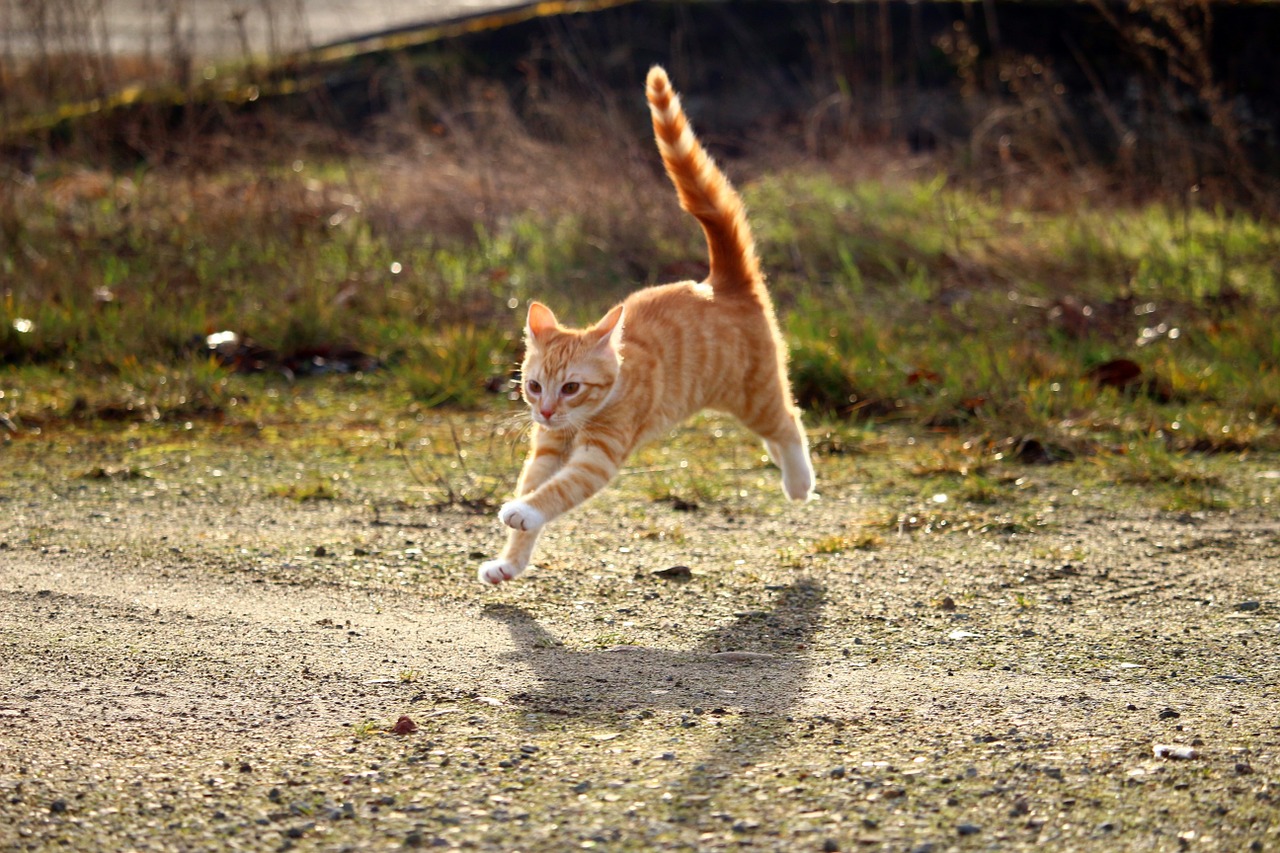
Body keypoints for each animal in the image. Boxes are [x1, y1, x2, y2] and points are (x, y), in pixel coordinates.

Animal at [476, 66, 814, 584]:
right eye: (533, 387)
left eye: (571, 388)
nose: (547, 411)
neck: (580, 418)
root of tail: (722, 283)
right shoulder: (547, 450)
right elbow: (534, 488)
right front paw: (510, 561)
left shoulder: (598, 455)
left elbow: (555, 493)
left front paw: (524, 512)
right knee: (777, 433)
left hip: (753, 392)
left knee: (789, 422)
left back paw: (799, 482)